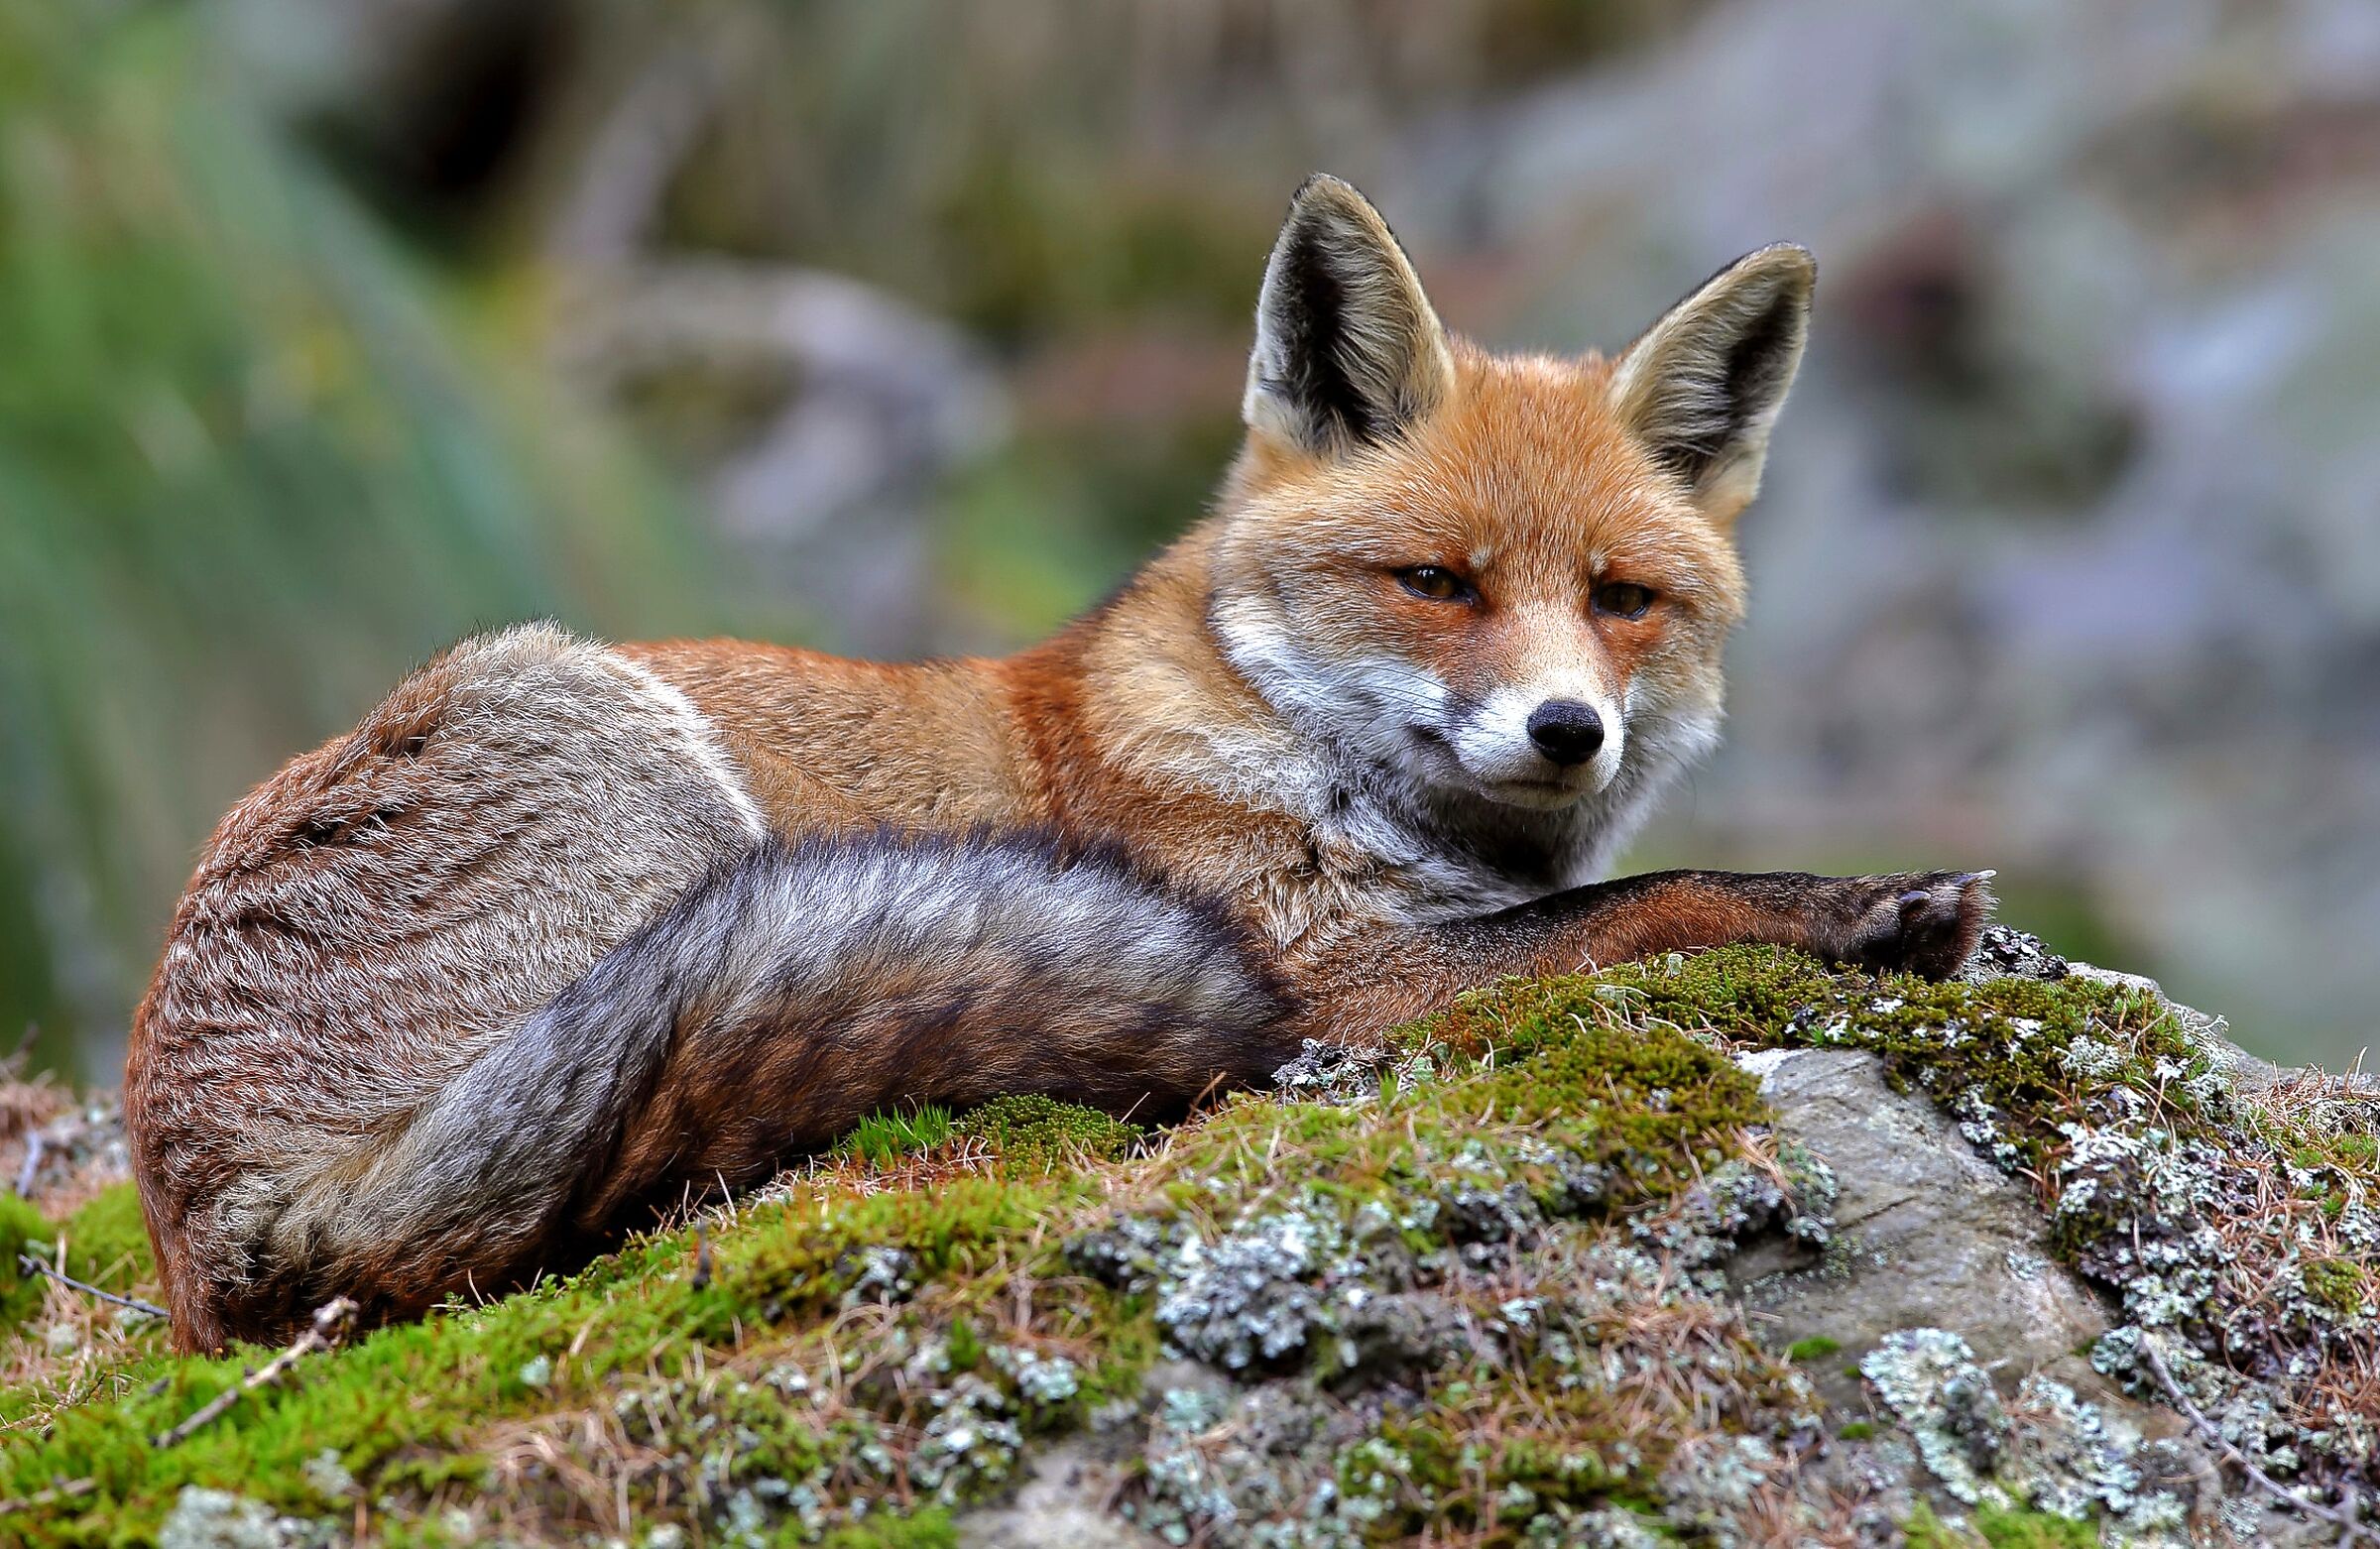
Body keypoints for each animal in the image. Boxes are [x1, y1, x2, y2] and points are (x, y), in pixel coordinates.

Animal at [126, 175, 1991, 1352]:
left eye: (1621, 599)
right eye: (1438, 583)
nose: (1566, 729)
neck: (1276, 736)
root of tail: (212, 1222)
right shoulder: (1334, 980)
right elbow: (1653, 899)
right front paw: (1855, 906)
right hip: (597, 728)